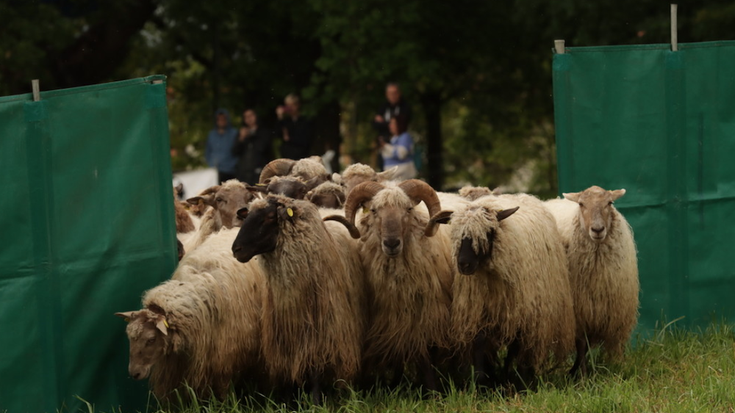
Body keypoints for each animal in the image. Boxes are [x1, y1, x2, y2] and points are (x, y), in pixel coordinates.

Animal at [115, 227, 264, 400]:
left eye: (151, 339)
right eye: (129, 338)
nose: (134, 373)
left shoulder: (224, 360)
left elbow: (223, 392)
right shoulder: (176, 364)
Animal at [336, 179, 458, 390]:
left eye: (408, 209)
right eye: (374, 210)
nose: (391, 243)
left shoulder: (427, 314)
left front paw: (433, 389)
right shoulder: (397, 319)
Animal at [426, 192, 580, 384]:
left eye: (488, 232)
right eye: (456, 233)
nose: (464, 264)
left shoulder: (523, 313)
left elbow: (517, 347)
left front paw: (518, 381)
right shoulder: (481, 311)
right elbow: (480, 343)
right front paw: (481, 382)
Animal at [544, 185, 640, 374]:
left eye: (609, 203)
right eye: (581, 204)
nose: (597, 229)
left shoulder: (608, 312)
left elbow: (589, 345)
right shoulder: (579, 311)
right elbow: (581, 344)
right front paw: (582, 374)